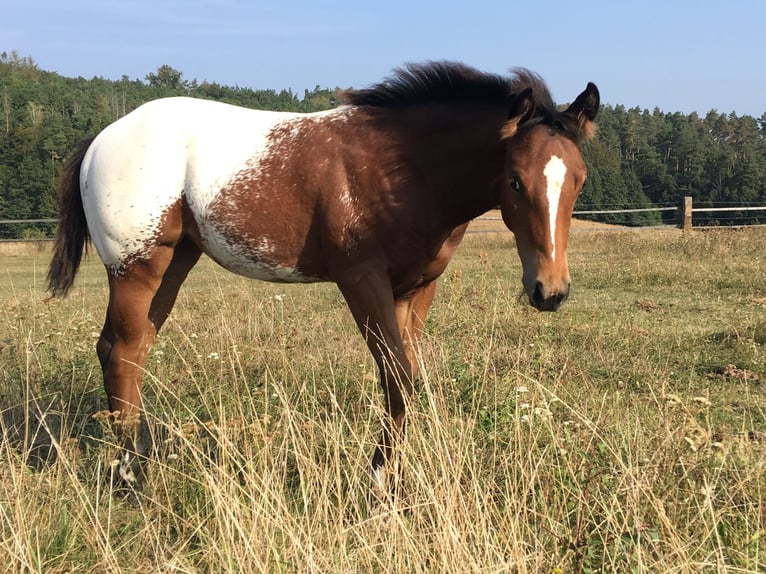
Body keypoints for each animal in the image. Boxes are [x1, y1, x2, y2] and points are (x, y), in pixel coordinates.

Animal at [46, 62, 600, 504]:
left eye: (580, 180)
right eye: (515, 181)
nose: (550, 291)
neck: (403, 168)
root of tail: (101, 140)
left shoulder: (416, 287)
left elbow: (406, 377)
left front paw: (395, 484)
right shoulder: (361, 279)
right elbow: (397, 374)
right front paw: (376, 486)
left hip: (175, 262)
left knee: (130, 349)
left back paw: (141, 461)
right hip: (137, 265)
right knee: (121, 353)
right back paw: (131, 479)